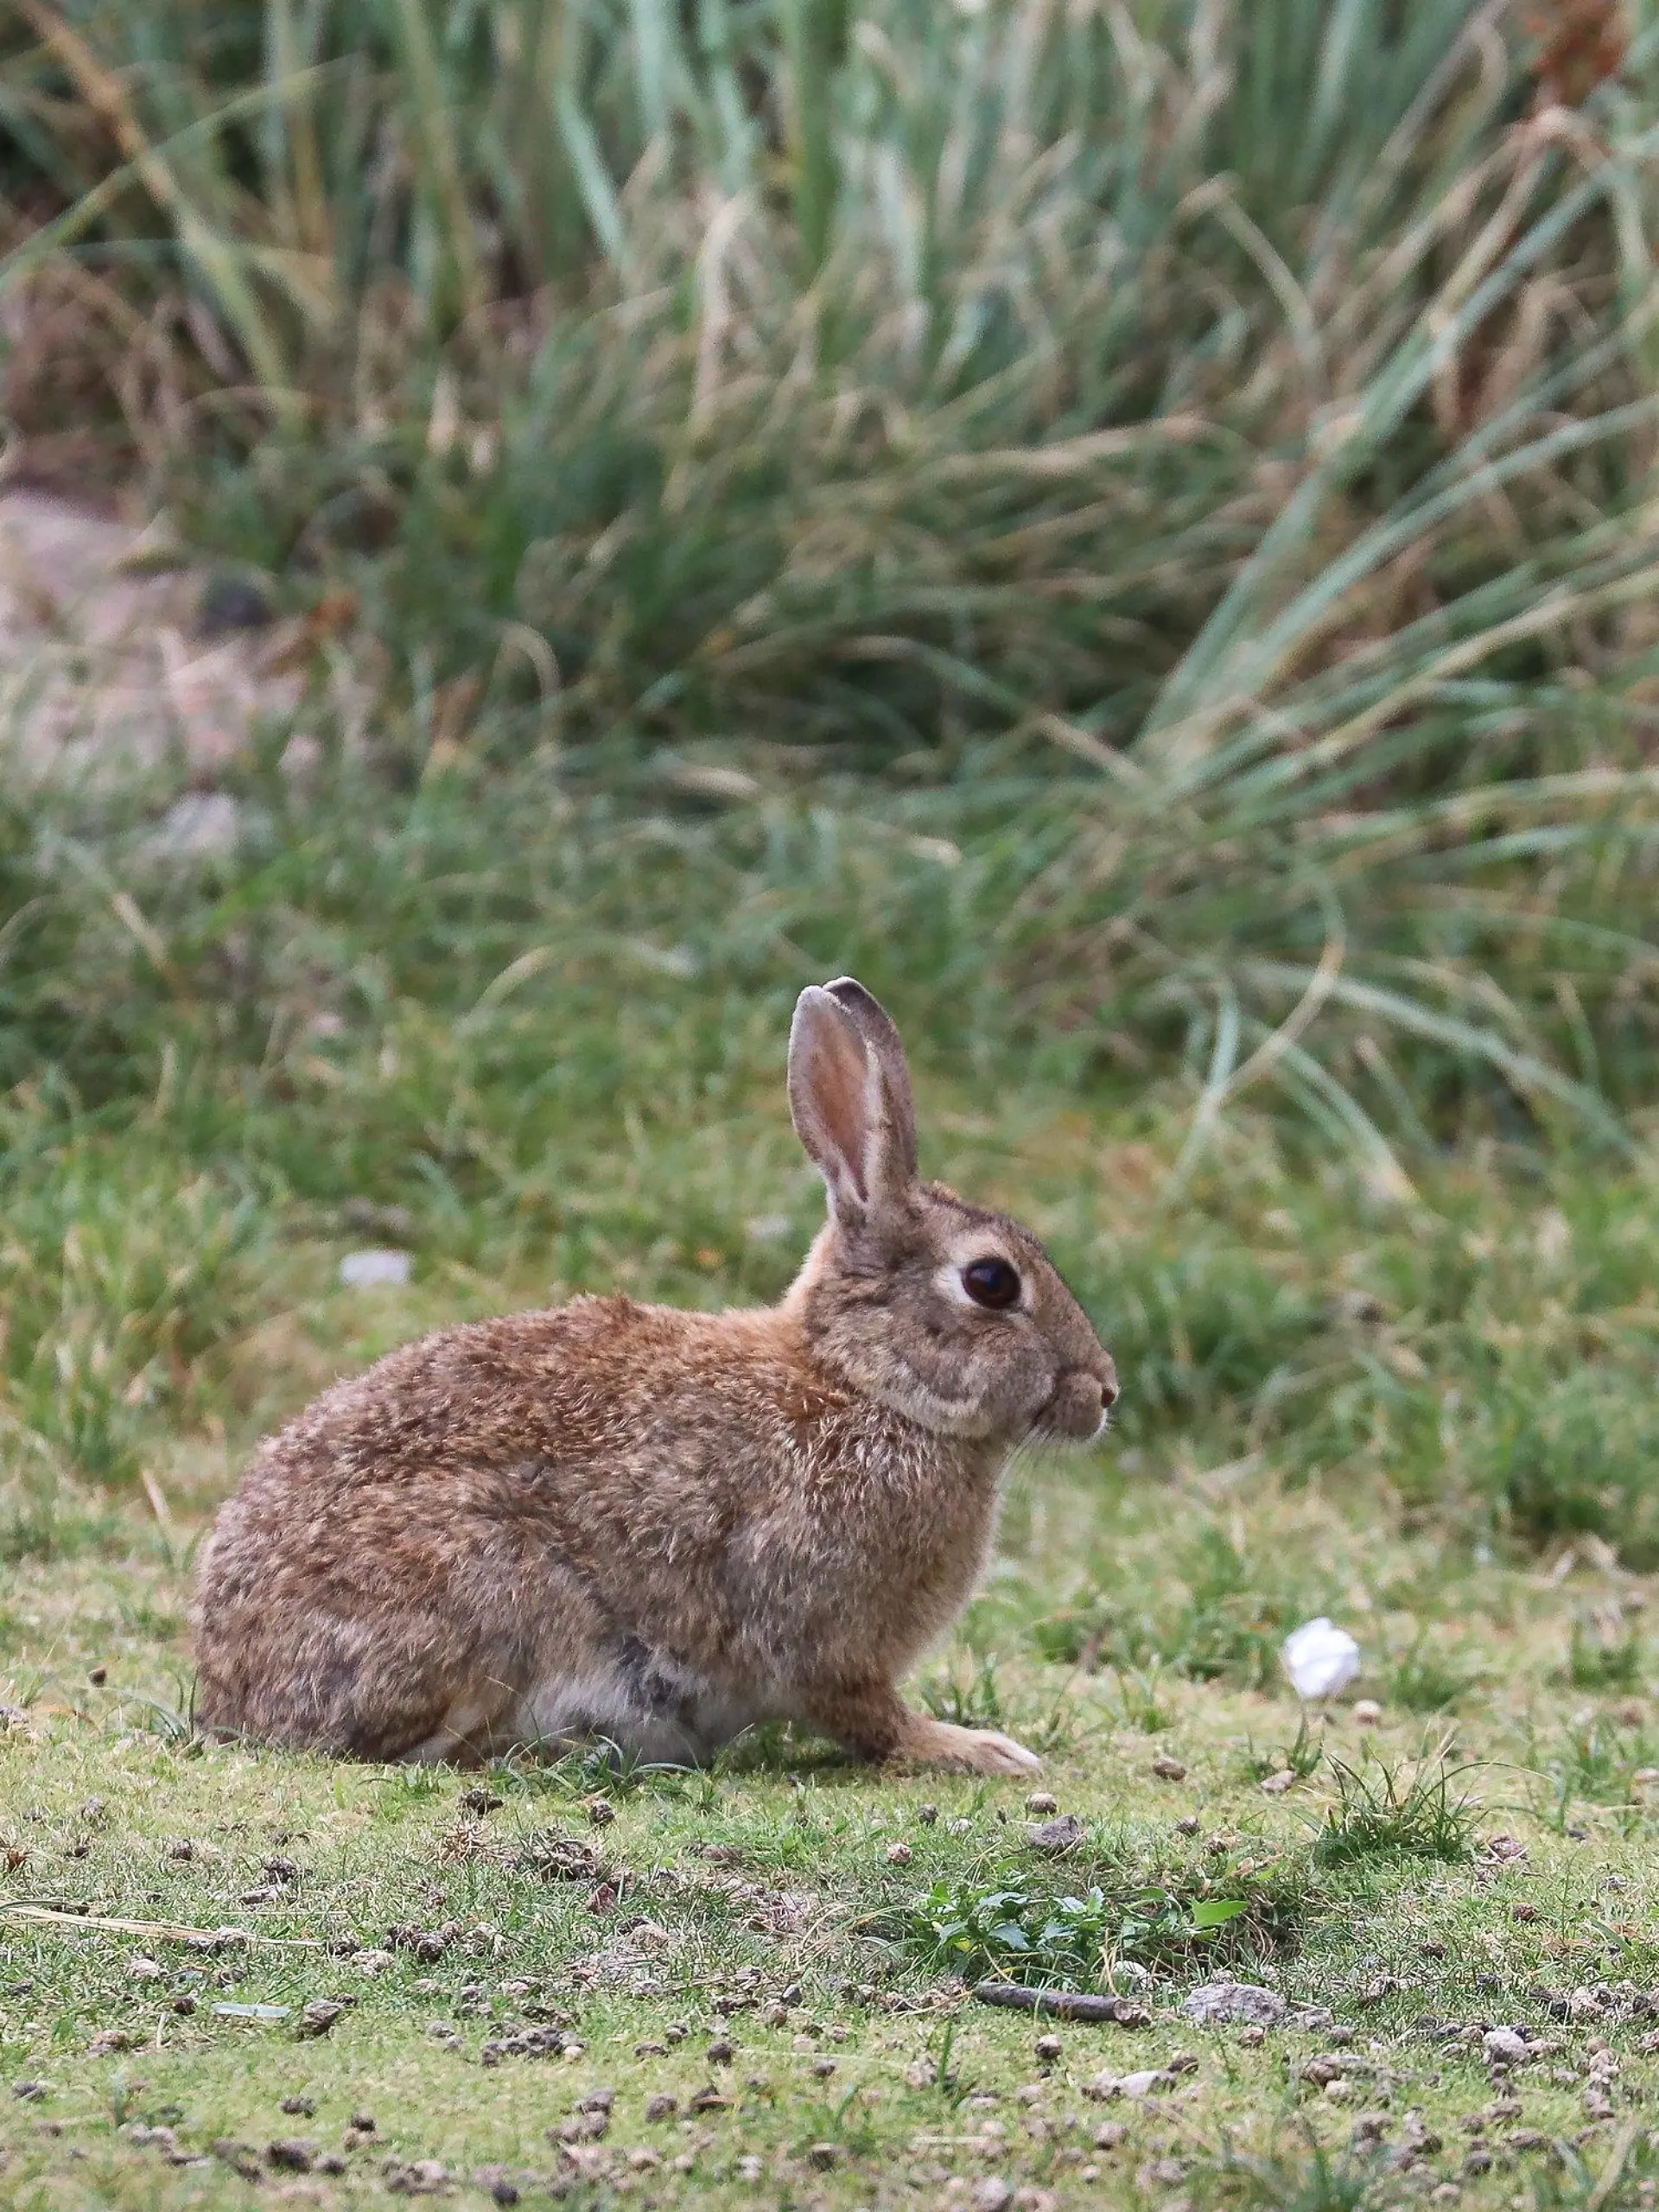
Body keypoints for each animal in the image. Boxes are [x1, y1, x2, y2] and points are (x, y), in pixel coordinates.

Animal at [192, 978, 1118, 1776]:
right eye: (991, 1282)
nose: (1105, 1391)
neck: (866, 1388)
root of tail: (229, 1692)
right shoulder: (820, 1633)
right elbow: (869, 1717)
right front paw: (978, 1750)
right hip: (484, 1588)